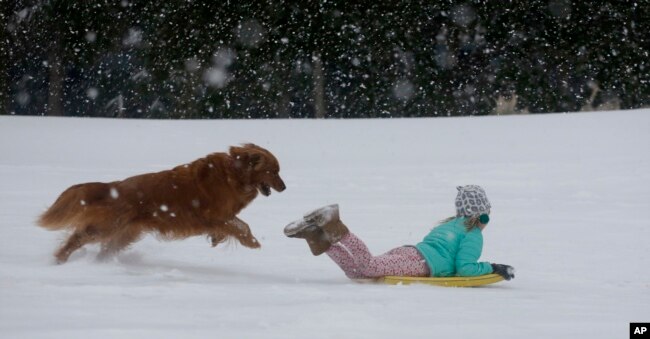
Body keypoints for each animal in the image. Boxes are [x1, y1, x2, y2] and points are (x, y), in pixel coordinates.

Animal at [38, 142, 284, 264]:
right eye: (273, 171)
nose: (284, 187)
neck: (235, 173)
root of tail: (113, 187)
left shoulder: (220, 217)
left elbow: (234, 225)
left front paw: (218, 239)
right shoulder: (214, 216)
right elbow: (241, 226)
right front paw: (252, 242)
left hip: (124, 234)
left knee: (104, 250)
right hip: (105, 227)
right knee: (76, 238)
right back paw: (59, 260)